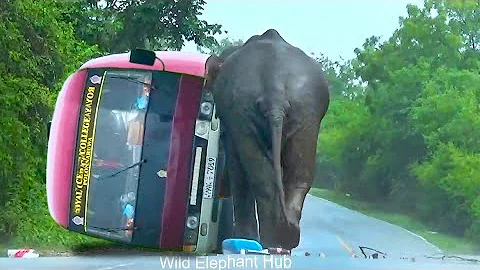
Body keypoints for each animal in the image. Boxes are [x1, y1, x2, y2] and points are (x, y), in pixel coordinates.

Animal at [202, 28, 330, 250]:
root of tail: (275, 87)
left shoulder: (232, 117)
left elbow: (236, 161)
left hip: (244, 109)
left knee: (256, 173)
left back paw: (257, 239)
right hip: (307, 110)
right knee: (300, 173)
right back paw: (284, 238)